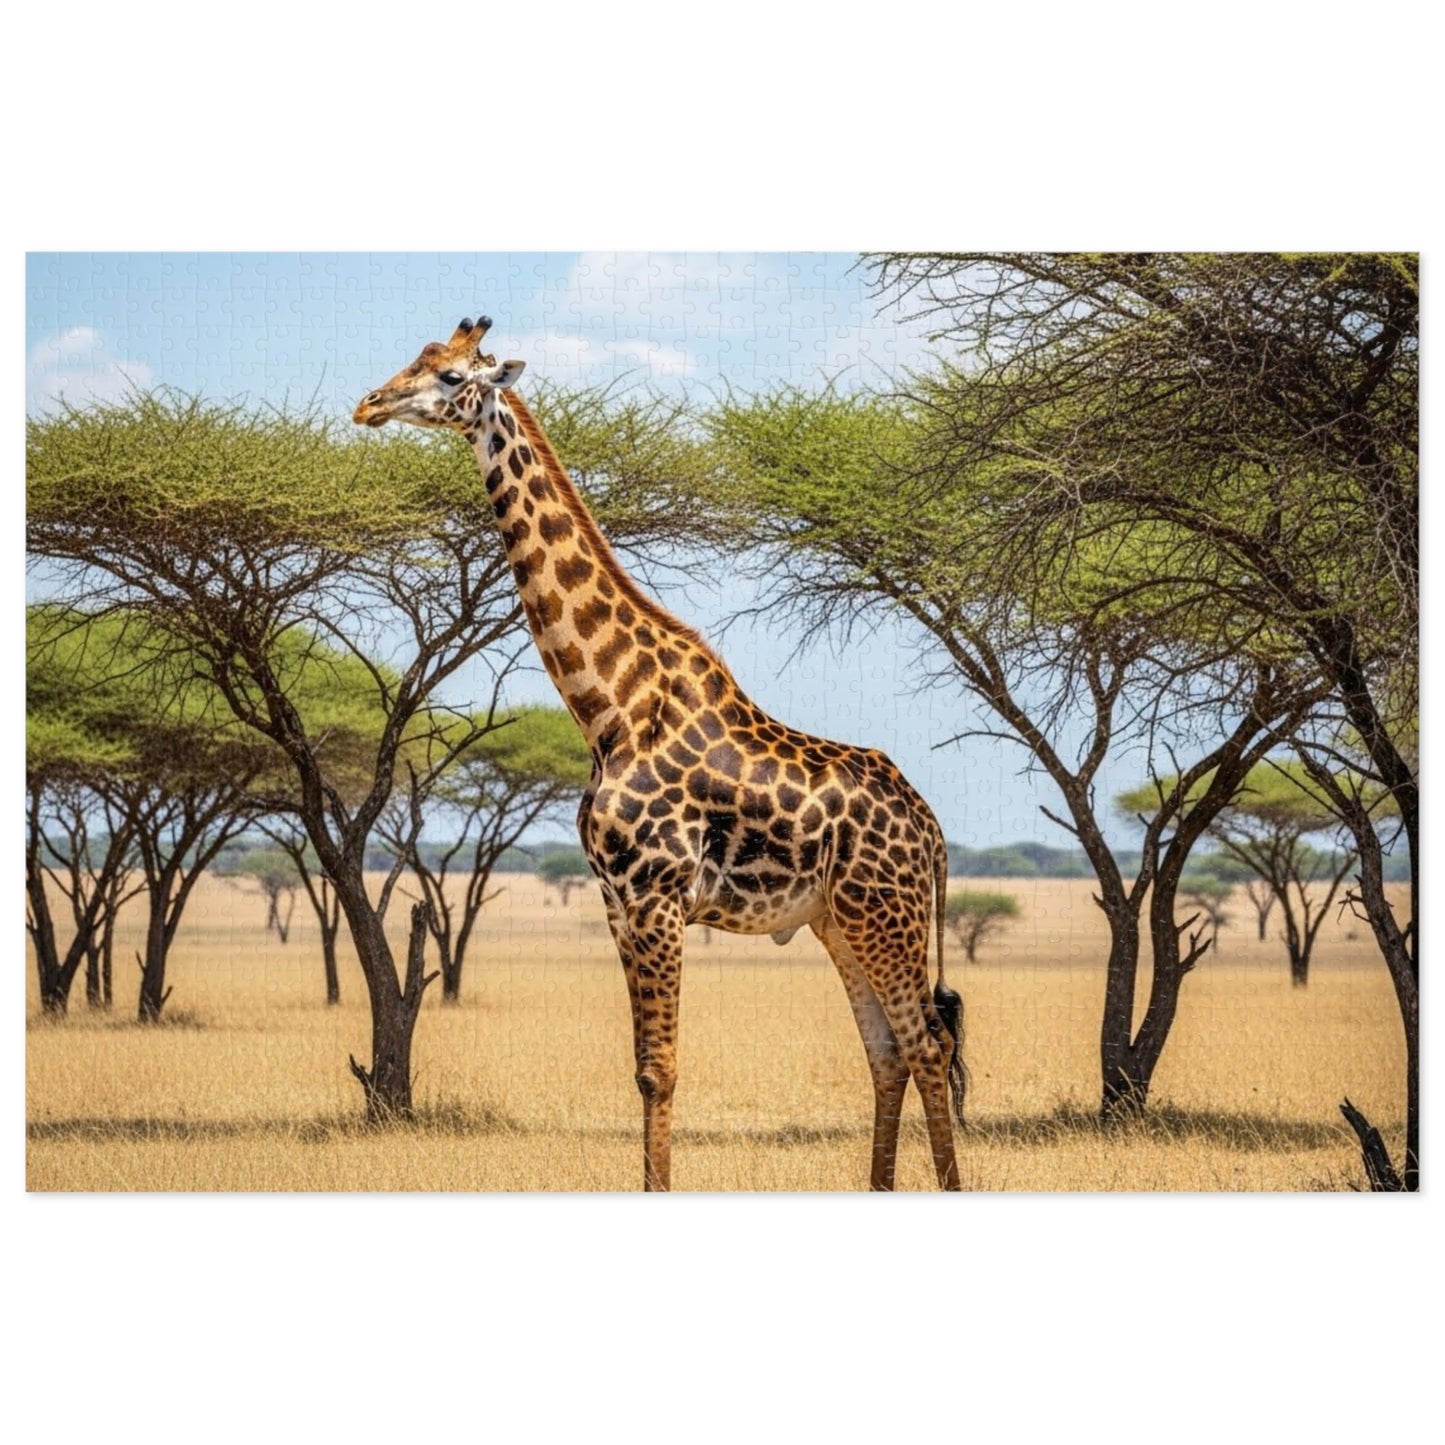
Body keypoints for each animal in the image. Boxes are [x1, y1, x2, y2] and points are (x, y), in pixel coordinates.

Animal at [355, 317, 966, 1190]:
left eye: (447, 376)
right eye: (416, 358)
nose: (369, 404)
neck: (610, 705)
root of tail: (932, 831)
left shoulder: (657, 894)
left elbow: (661, 1068)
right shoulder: (617, 898)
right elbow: (643, 1066)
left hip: (884, 913)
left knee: (926, 1043)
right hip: (837, 920)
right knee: (886, 1050)